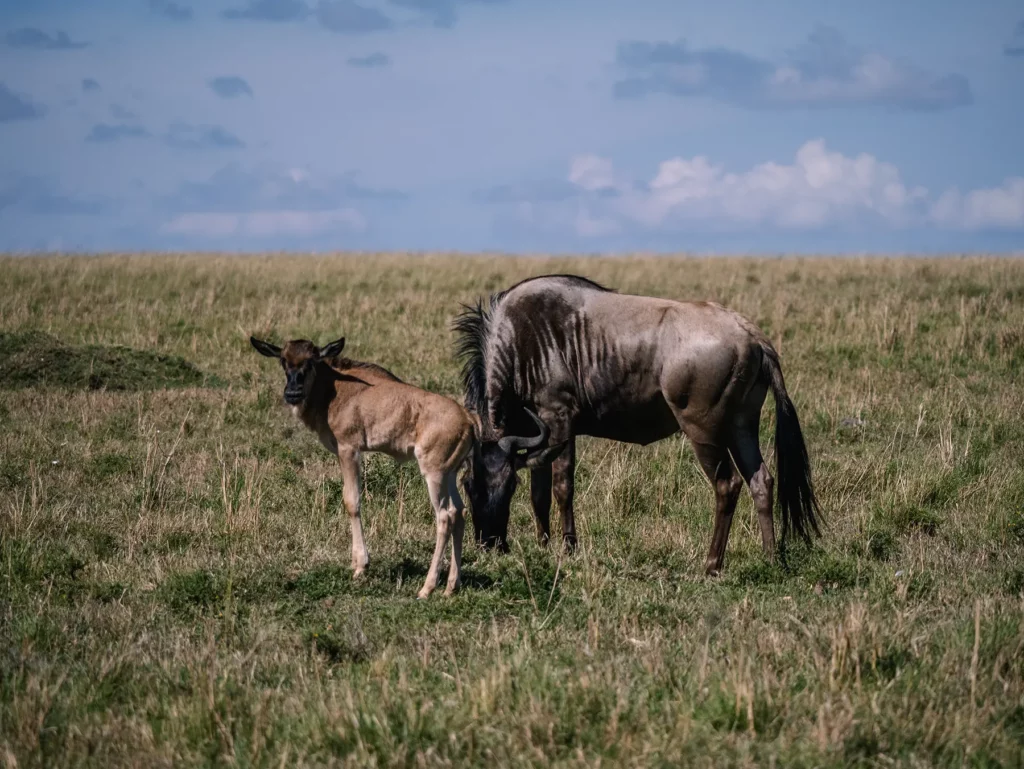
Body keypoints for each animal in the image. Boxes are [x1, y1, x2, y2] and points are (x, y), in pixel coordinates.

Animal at [249, 335, 554, 598]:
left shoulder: (349, 450)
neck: (337, 388)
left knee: (445, 516)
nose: (292, 392)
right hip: (450, 474)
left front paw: (360, 566)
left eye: (311, 362)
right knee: (460, 512)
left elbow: (352, 501)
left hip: (433, 474)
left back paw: (427, 588)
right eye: (284, 361)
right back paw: (451, 586)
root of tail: (468, 418)